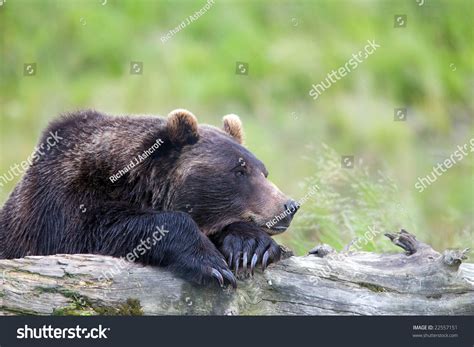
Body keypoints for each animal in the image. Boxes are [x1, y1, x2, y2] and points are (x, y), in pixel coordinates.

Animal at [0, 111, 298, 288]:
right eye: (239, 170)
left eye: (263, 171)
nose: (289, 206)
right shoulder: (61, 205)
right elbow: (96, 231)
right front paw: (212, 265)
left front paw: (252, 247)